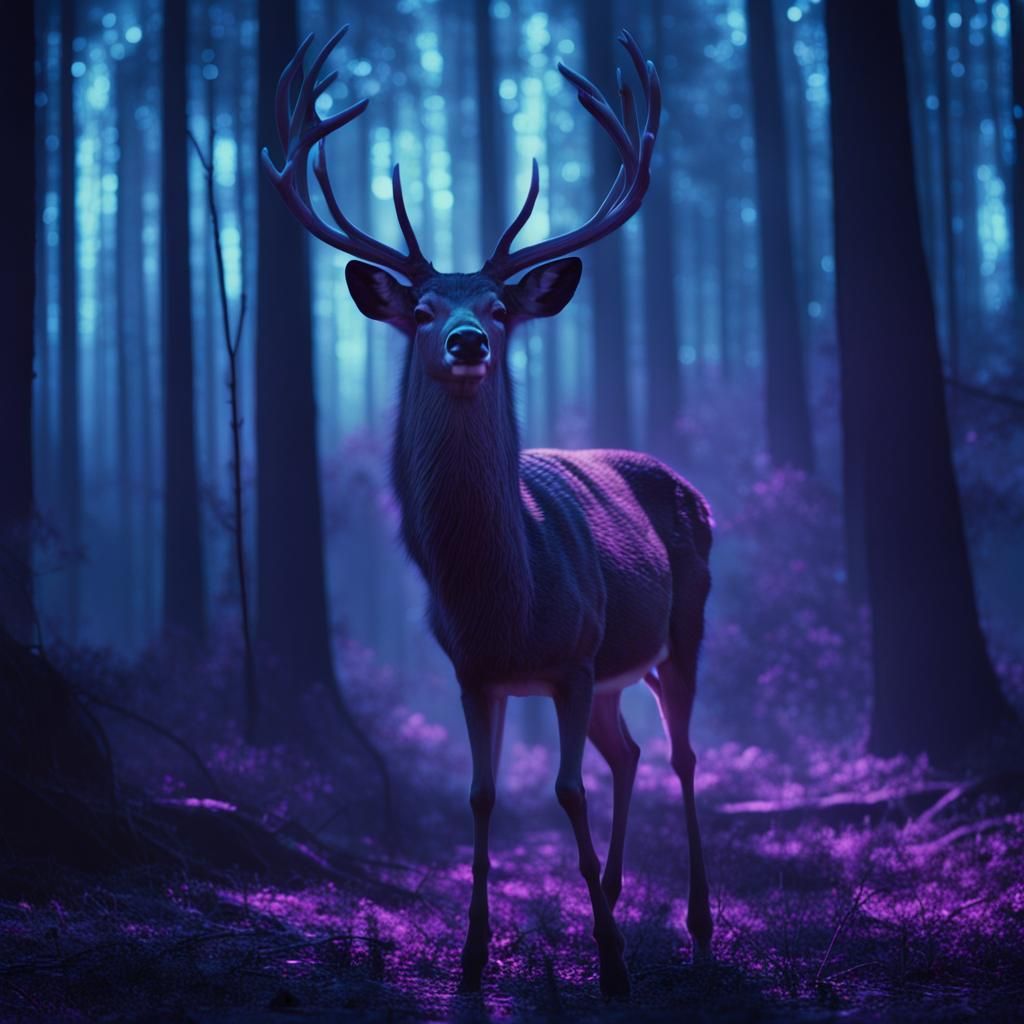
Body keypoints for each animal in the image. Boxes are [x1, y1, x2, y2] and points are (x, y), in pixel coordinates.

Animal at [262, 25, 713, 999]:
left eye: (502, 305)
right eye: (425, 307)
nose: (468, 340)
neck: (509, 592)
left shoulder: (575, 656)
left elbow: (566, 792)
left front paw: (612, 963)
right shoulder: (474, 672)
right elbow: (482, 796)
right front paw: (473, 962)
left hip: (682, 624)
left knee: (681, 755)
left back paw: (696, 929)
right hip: (615, 670)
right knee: (628, 754)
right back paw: (614, 893)